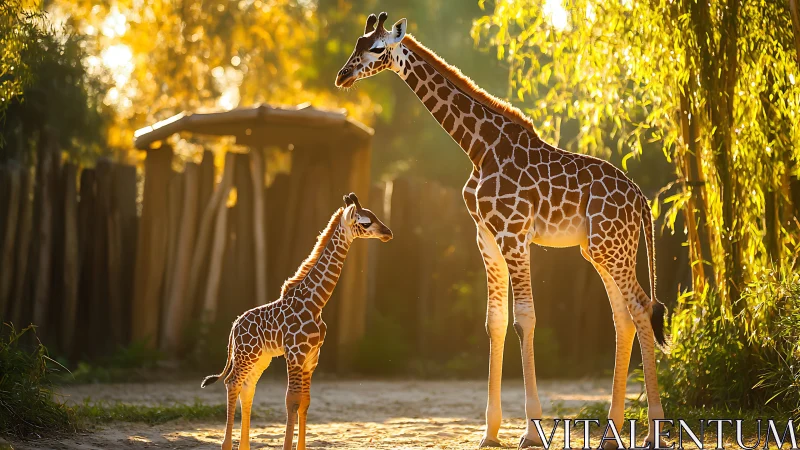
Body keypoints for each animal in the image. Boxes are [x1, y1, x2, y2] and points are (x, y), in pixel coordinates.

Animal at [201, 193, 392, 450]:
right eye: (366, 221)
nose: (388, 233)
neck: (316, 303)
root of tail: (233, 328)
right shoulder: (295, 354)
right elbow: (291, 400)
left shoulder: (312, 357)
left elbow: (305, 401)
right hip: (246, 355)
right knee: (232, 383)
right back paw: (227, 445)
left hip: (261, 358)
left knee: (247, 388)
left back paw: (244, 446)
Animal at [336, 13, 669, 449]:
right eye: (355, 45)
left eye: (376, 49)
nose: (342, 75)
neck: (479, 147)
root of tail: (641, 199)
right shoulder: (486, 237)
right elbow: (494, 321)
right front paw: (490, 431)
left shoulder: (514, 234)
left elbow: (524, 318)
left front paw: (530, 430)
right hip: (600, 250)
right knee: (624, 317)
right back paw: (613, 434)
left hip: (612, 246)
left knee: (642, 309)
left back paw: (654, 430)